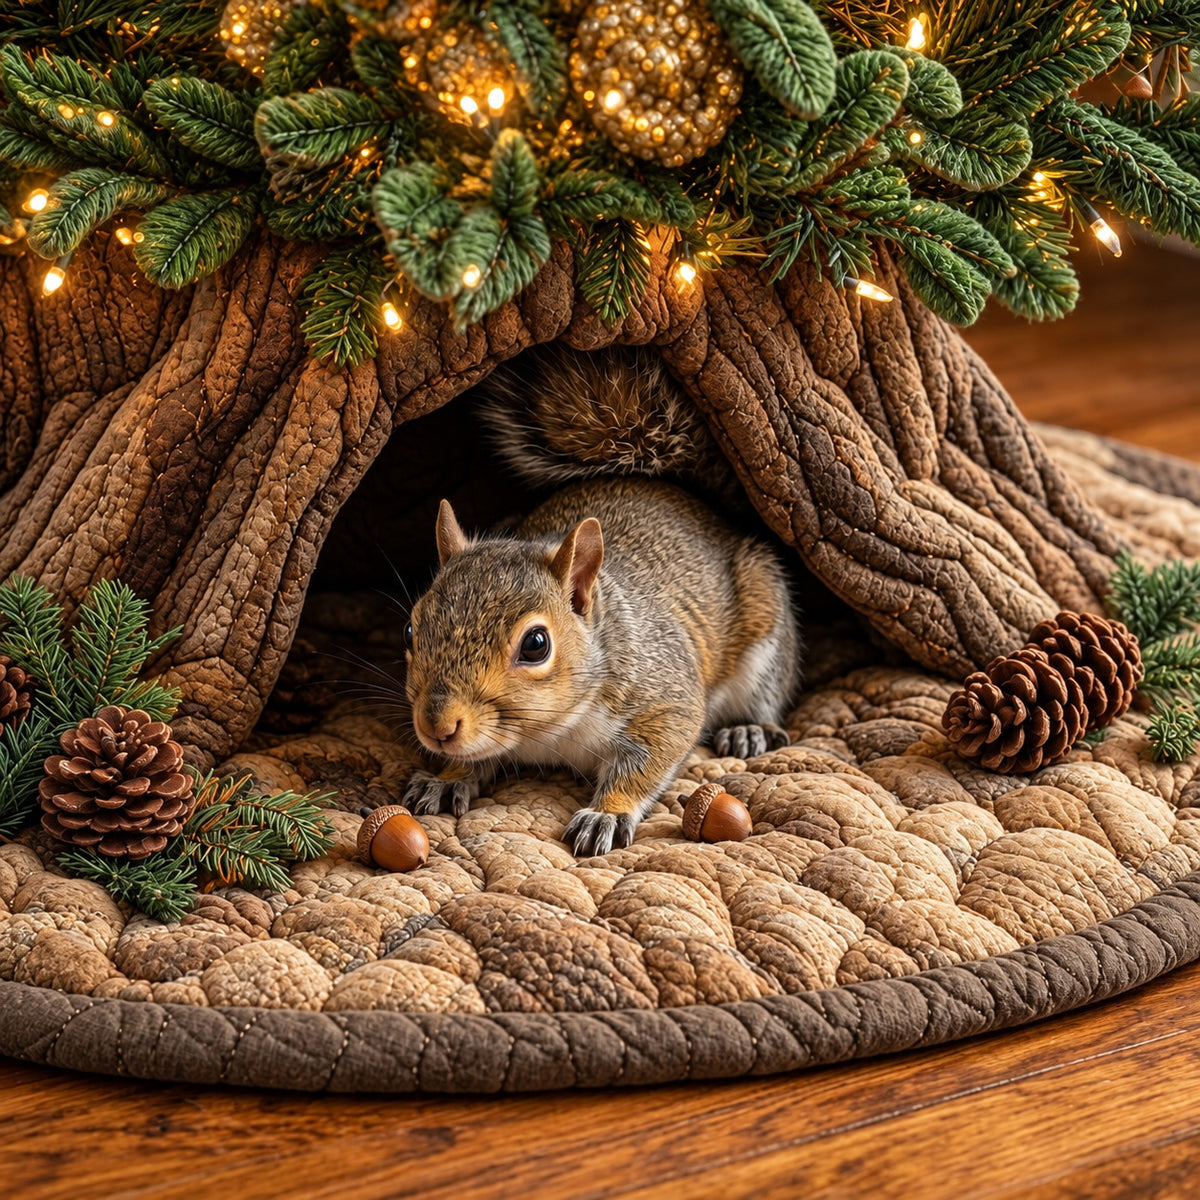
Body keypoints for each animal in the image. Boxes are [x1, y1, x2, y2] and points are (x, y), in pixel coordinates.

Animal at [402, 474, 802, 856]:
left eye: (535, 645)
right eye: (409, 630)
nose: (436, 727)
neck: (546, 732)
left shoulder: (664, 694)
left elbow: (651, 755)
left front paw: (606, 813)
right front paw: (448, 778)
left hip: (766, 641)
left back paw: (749, 729)